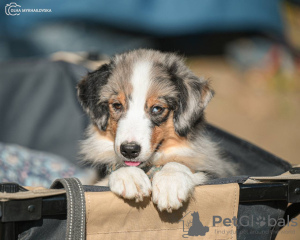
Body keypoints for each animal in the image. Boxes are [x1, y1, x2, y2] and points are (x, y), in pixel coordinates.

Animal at [77, 48, 234, 212]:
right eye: (117, 105)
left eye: (157, 108)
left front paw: (170, 183)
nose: (129, 150)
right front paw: (130, 176)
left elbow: (180, 165)